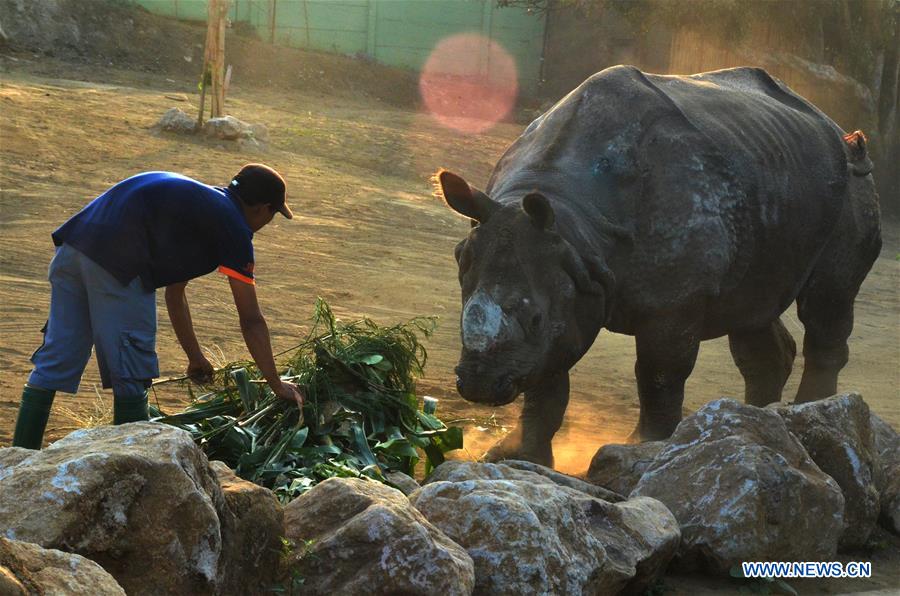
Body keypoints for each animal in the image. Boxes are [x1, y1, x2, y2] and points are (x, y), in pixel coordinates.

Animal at [436, 65, 882, 467]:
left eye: (534, 319)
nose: (478, 384)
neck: (572, 222)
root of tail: (834, 125)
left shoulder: (674, 301)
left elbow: (658, 374)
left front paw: (642, 449)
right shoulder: (568, 279)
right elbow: (547, 376)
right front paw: (515, 457)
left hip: (851, 183)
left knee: (827, 302)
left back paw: (813, 415)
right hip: (770, 179)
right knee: (753, 311)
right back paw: (762, 422)